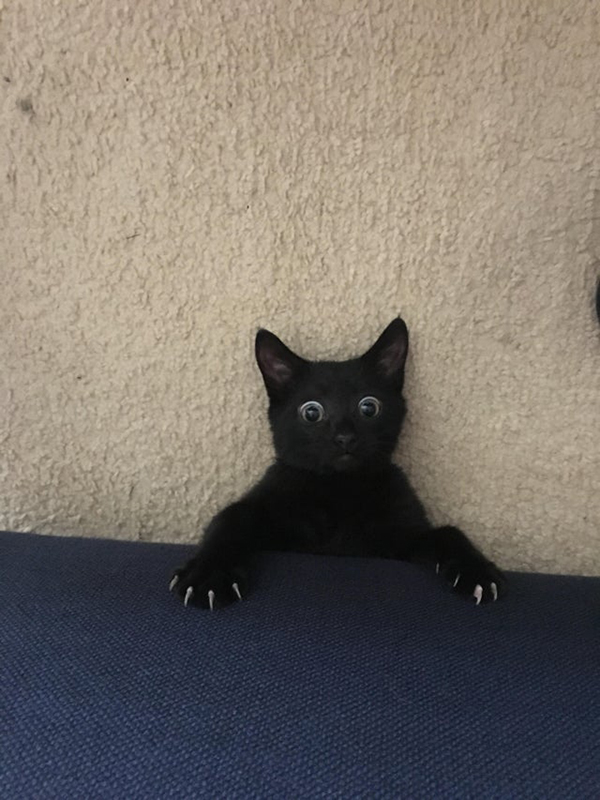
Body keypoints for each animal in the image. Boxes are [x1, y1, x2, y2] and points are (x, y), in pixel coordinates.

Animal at [171, 322, 504, 608]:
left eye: (368, 407)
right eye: (311, 412)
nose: (345, 437)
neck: (338, 488)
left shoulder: (400, 539)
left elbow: (448, 531)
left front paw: (476, 570)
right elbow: (232, 515)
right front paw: (209, 575)